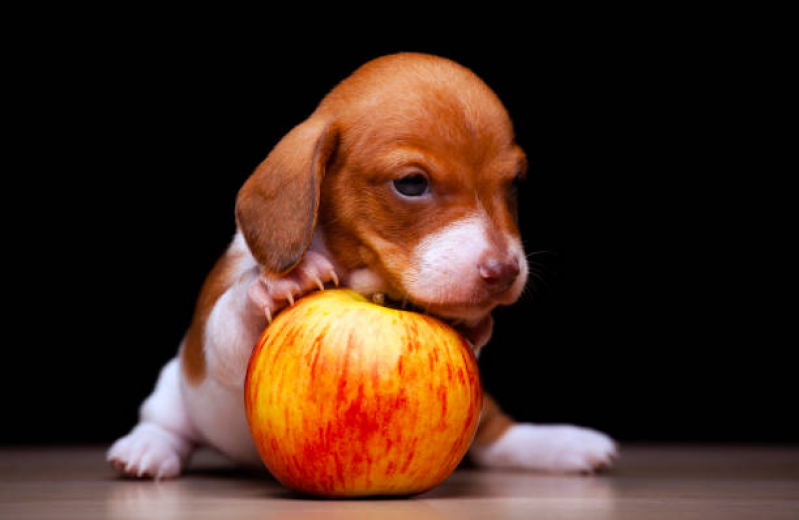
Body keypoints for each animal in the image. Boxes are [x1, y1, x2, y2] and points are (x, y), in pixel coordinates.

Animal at [108, 52, 620, 480]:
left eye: (513, 183)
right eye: (411, 183)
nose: (505, 272)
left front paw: (471, 322)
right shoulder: (217, 343)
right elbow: (230, 320)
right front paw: (276, 284)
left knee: (493, 436)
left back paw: (559, 444)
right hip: (176, 389)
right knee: (165, 423)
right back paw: (147, 448)